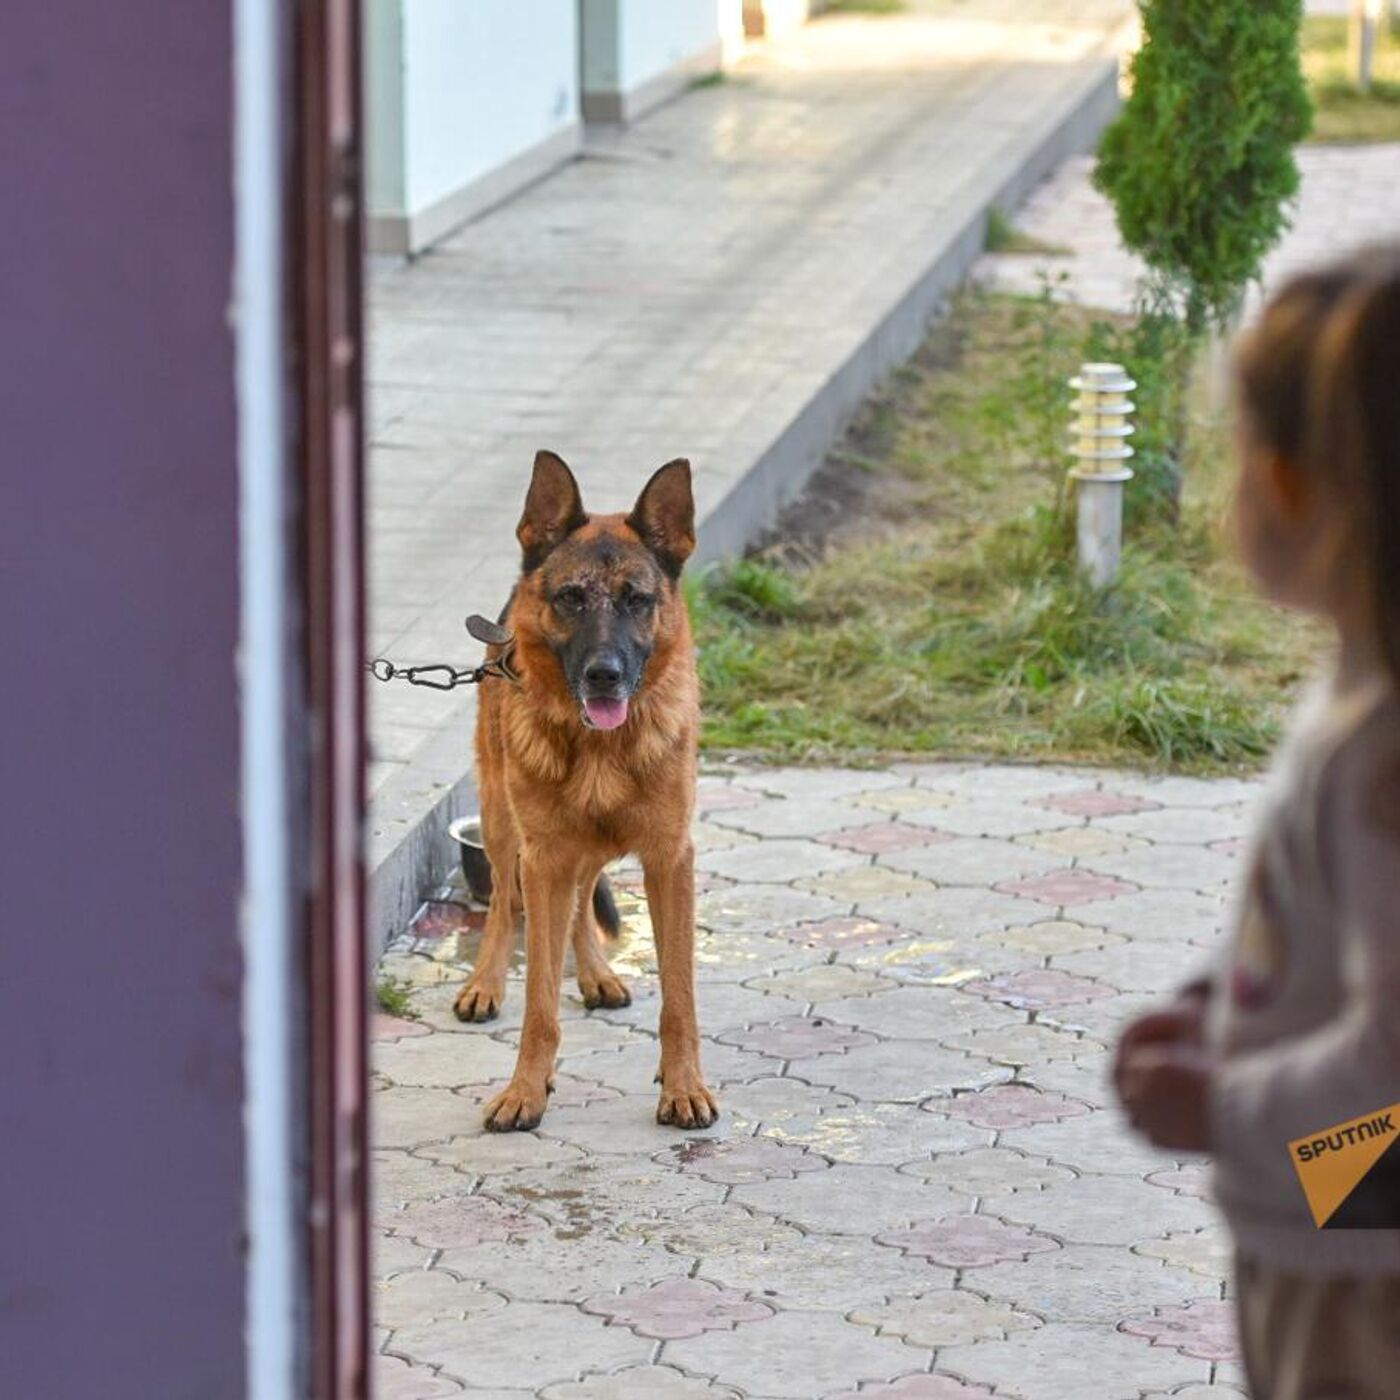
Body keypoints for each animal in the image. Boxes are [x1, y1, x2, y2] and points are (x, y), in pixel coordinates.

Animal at [456, 453, 722, 1131]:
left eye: (637, 600)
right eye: (571, 598)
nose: (605, 675)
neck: (601, 752)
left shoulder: (669, 861)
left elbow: (680, 996)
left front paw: (683, 1085)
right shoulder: (543, 857)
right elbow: (539, 1001)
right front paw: (526, 1088)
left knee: (579, 901)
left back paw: (598, 974)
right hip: (503, 824)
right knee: (505, 903)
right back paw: (485, 983)